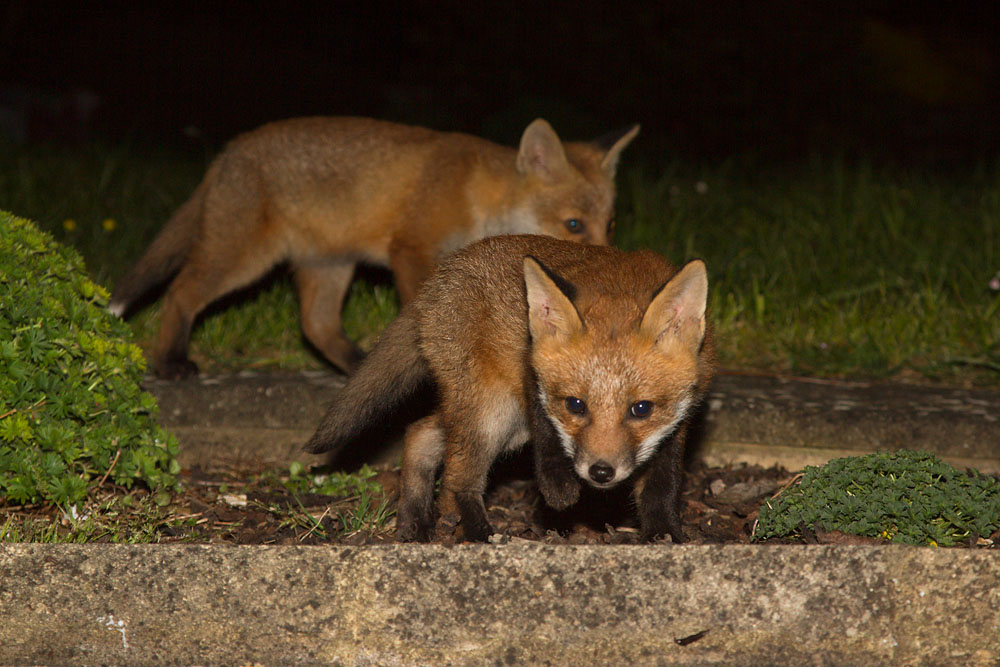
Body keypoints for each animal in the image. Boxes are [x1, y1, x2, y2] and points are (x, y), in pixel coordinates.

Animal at [108, 116, 639, 379]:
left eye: (610, 223)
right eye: (573, 224)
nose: (611, 264)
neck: (476, 192)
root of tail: (227, 152)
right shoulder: (411, 248)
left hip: (330, 266)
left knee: (316, 325)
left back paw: (357, 365)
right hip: (243, 259)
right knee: (180, 292)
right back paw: (170, 362)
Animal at [304, 234, 714, 543]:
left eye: (641, 409)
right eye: (575, 405)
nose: (600, 472)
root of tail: (437, 279)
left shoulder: (678, 421)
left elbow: (663, 483)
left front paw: (664, 535)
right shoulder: (530, 370)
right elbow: (548, 437)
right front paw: (558, 490)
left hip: (499, 421)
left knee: (419, 432)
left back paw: (414, 522)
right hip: (494, 413)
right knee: (457, 476)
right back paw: (477, 534)